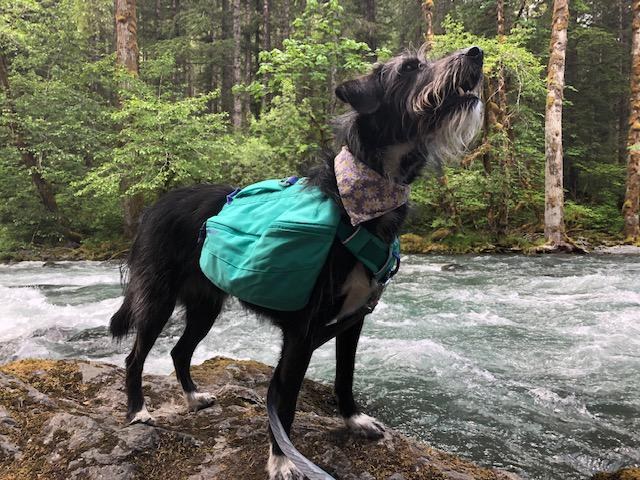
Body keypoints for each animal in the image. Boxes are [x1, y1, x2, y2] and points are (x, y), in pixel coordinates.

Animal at [109, 45, 484, 480]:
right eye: (410, 67)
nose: (476, 54)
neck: (358, 207)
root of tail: (153, 208)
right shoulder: (302, 332)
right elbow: (284, 399)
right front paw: (283, 457)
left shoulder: (353, 320)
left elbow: (345, 376)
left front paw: (353, 419)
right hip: (158, 298)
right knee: (136, 355)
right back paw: (138, 411)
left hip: (206, 303)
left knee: (179, 352)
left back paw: (193, 398)